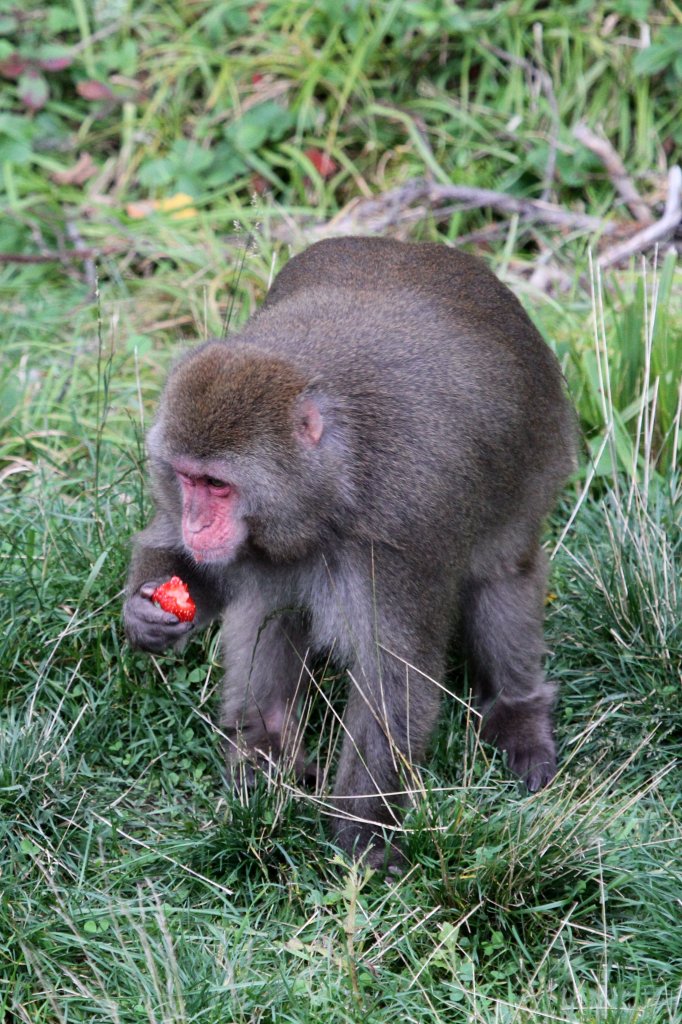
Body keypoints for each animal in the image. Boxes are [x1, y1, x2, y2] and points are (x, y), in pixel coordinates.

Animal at [122, 235, 573, 868]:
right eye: (187, 479)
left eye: (218, 485)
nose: (196, 522)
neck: (330, 486)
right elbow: (187, 565)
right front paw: (146, 612)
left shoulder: (402, 533)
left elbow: (394, 675)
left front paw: (364, 832)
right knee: (269, 597)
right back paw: (264, 744)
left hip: (538, 455)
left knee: (504, 573)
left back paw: (519, 711)